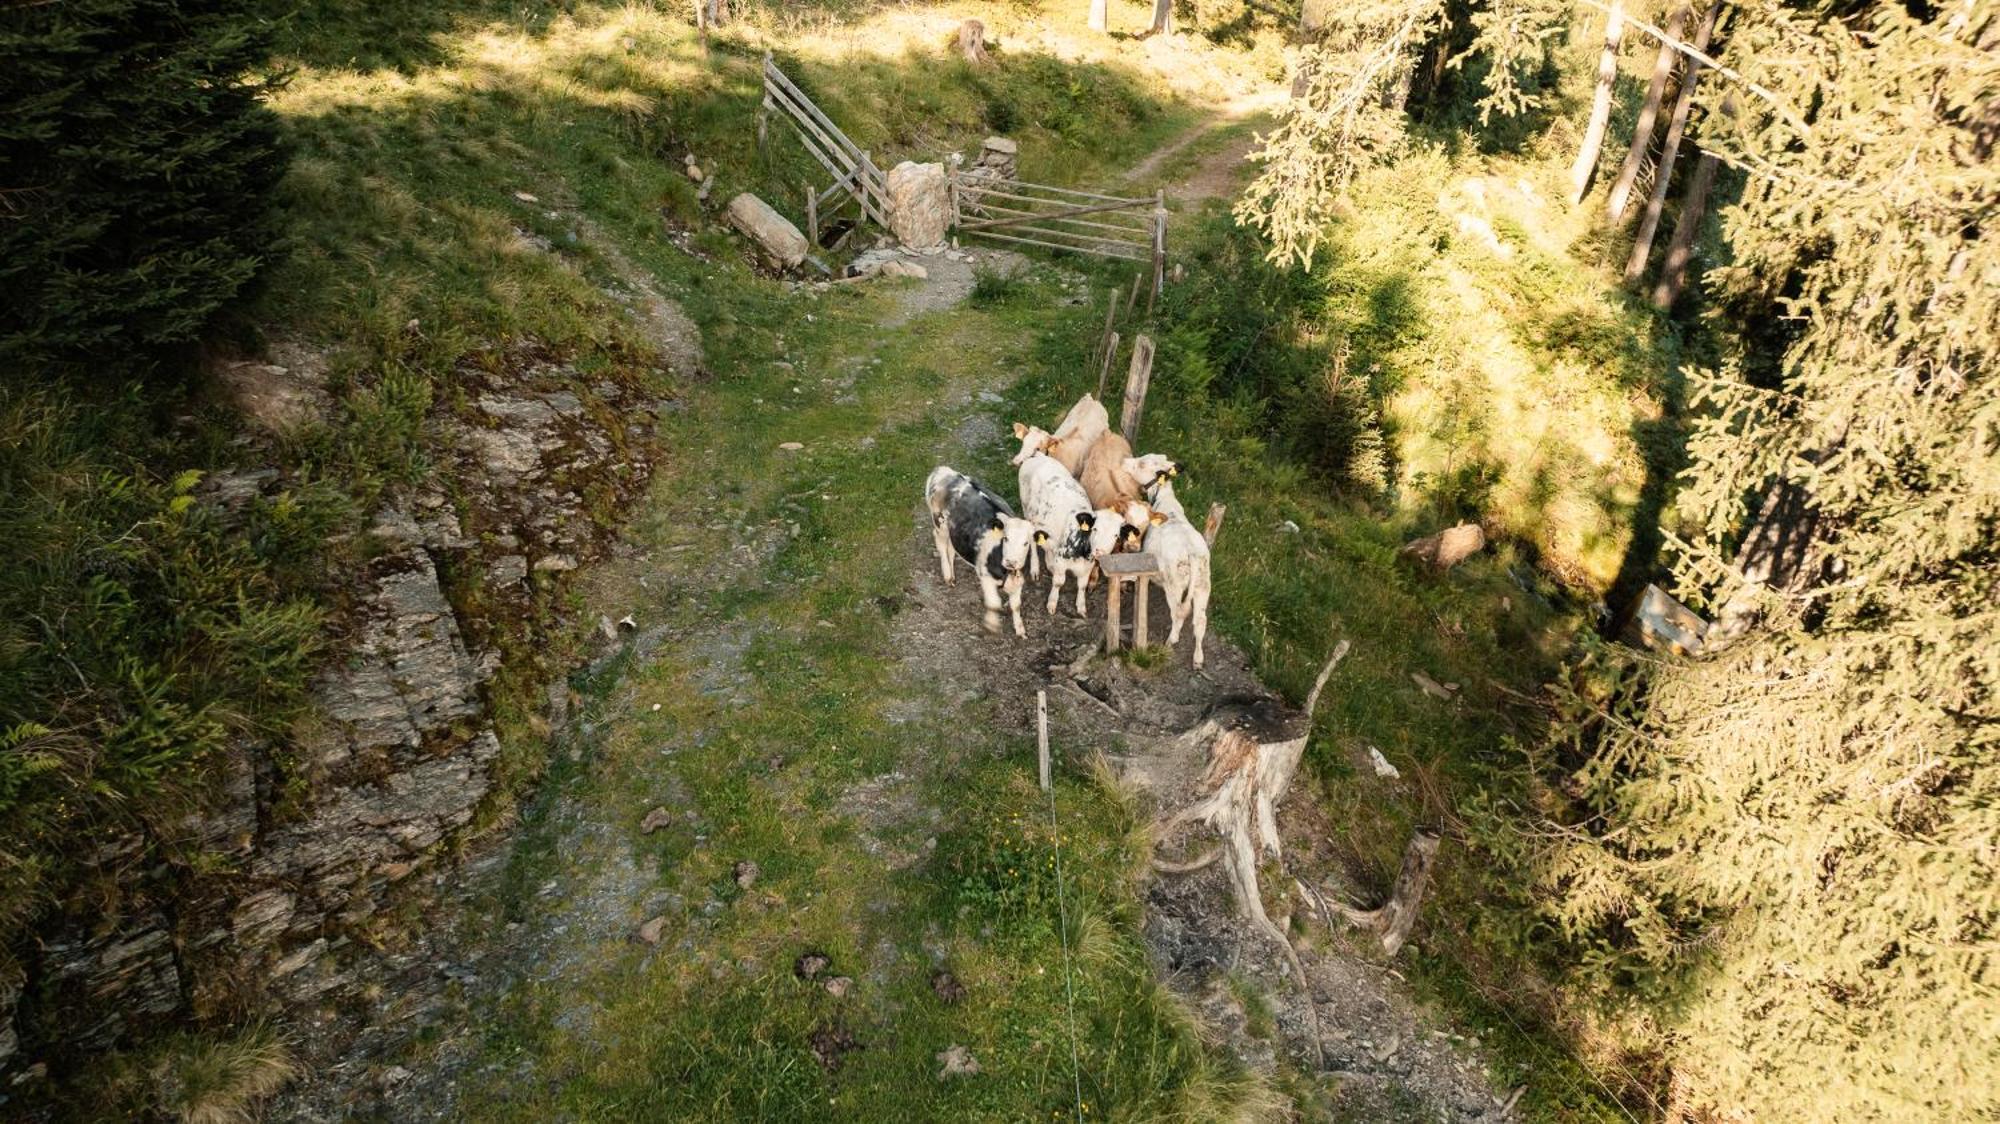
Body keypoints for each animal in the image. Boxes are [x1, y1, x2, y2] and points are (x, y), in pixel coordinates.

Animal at [1024, 448, 1152, 612]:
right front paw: (1052, 602)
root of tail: (1039, 456)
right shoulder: (1062, 562)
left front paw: (1081, 606)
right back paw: (1035, 568)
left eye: (1116, 535)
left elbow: (1082, 585)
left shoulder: (1087, 567)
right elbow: (1058, 582)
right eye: (1095, 529)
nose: (1100, 552)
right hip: (1027, 513)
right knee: (1033, 542)